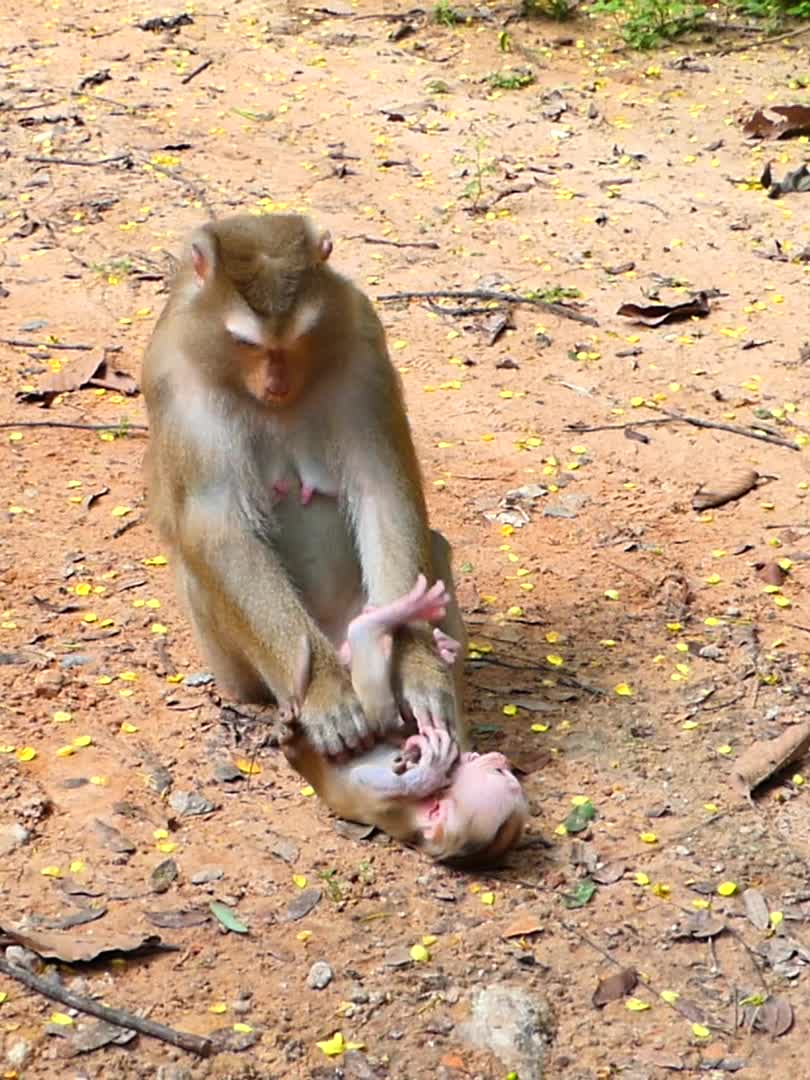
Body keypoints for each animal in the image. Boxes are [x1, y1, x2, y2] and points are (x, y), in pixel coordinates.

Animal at [142, 213, 458, 759]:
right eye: (247, 344)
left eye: (298, 339)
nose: (276, 385)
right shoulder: (179, 379)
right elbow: (219, 528)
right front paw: (325, 693)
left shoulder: (361, 339)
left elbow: (384, 492)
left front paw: (418, 664)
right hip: (237, 668)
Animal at [281, 574, 529, 866]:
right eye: (501, 772)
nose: (502, 761)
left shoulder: (391, 804)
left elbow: (379, 780)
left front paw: (432, 766)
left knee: (373, 703)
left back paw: (375, 624)